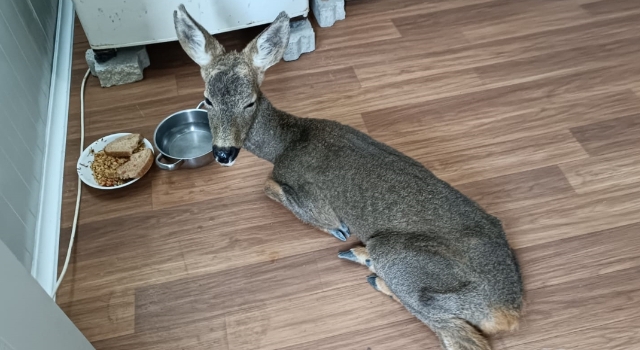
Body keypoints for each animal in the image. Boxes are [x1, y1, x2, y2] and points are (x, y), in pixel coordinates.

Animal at [172, 6, 524, 350]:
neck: (286, 142)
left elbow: (269, 186)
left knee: (458, 336)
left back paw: (367, 266)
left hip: (402, 260)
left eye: (250, 102)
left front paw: (337, 231)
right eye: (207, 99)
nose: (223, 153)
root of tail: (509, 311)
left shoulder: (311, 198)